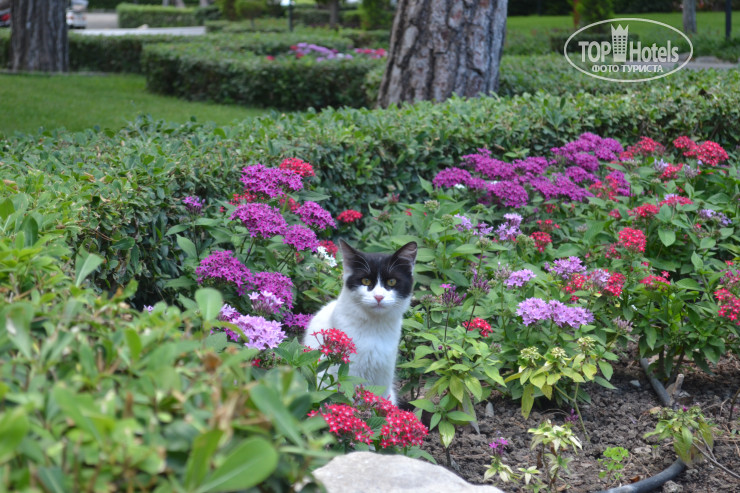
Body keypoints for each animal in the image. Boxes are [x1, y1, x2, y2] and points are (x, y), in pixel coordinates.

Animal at [303, 240, 417, 405]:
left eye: (391, 281)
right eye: (366, 281)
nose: (378, 297)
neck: (374, 327)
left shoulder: (383, 374)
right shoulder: (348, 373)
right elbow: (349, 401)